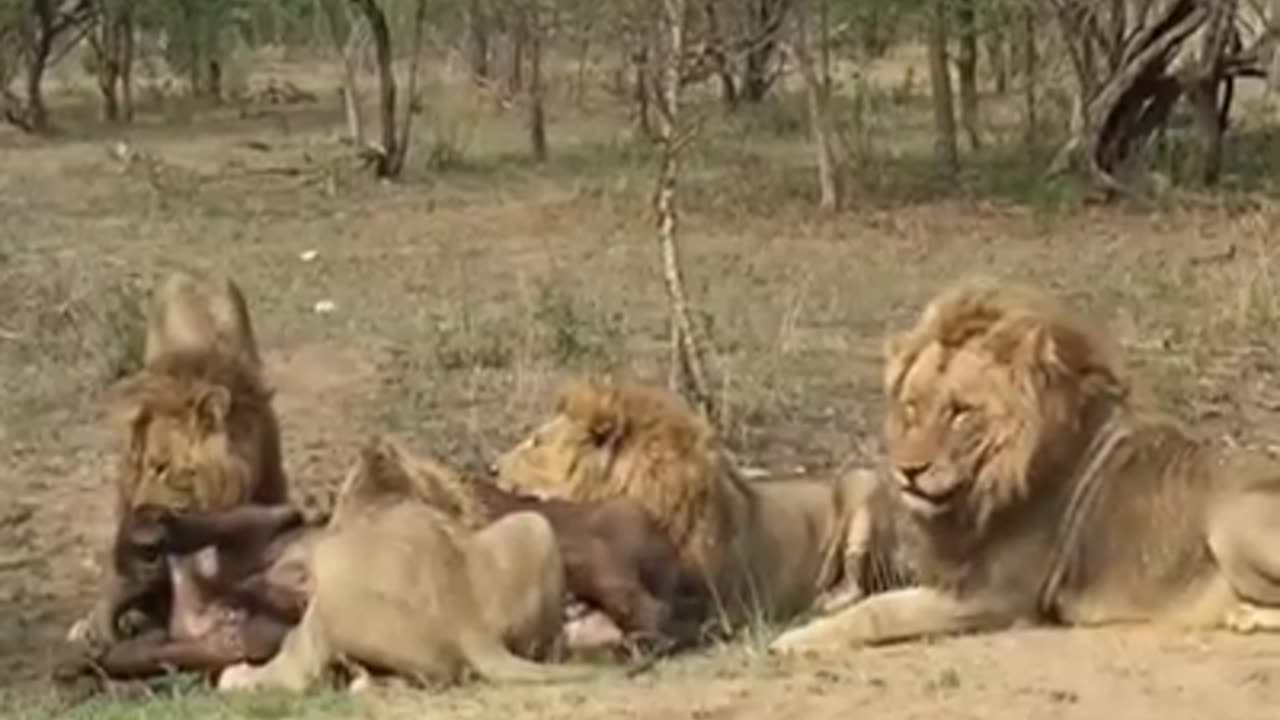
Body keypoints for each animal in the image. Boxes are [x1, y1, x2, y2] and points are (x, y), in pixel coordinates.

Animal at [488, 371, 890, 630]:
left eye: (537, 442)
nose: (491, 468)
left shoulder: (704, 601)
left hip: (862, 484)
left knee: (857, 586)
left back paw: (822, 604)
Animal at [768, 274, 1280, 650]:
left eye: (960, 412)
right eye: (912, 407)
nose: (908, 472)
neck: (982, 489)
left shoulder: (996, 596)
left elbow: (881, 610)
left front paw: (795, 638)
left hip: (1231, 522)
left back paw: (1244, 615)